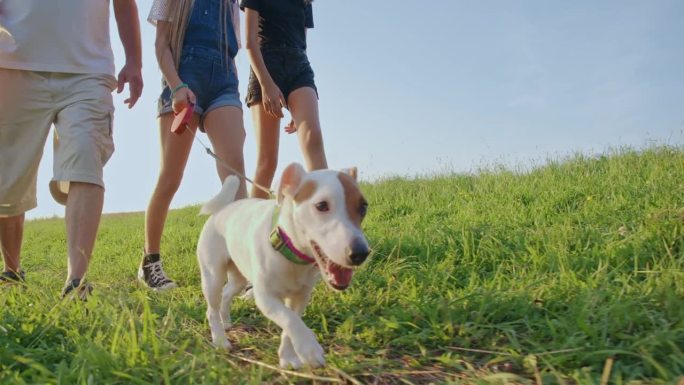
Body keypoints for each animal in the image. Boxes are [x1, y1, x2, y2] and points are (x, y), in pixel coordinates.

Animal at [195, 161, 372, 366]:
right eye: (321, 205)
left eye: (363, 207)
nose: (360, 253)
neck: (291, 254)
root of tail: (222, 208)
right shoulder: (265, 297)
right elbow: (289, 319)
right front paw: (309, 348)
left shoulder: (301, 297)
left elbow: (291, 323)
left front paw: (288, 357)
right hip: (212, 276)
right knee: (211, 309)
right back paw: (220, 340)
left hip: (238, 278)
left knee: (226, 294)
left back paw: (226, 321)